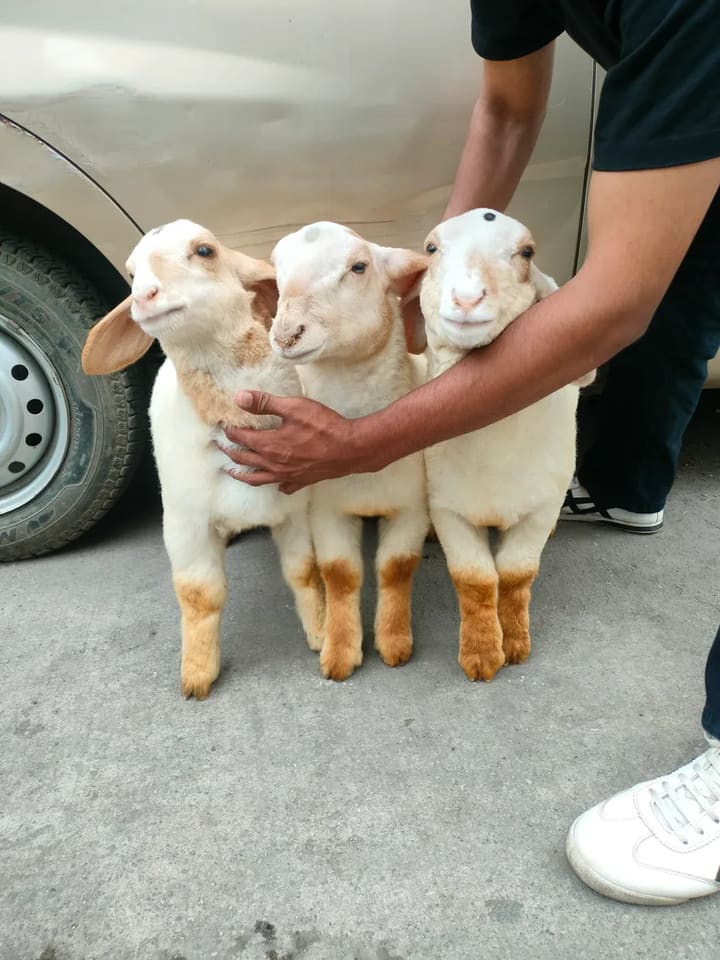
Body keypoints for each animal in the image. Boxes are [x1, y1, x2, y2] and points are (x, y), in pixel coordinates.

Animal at [81, 219, 324, 699]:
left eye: (205, 250)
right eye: (131, 272)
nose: (143, 296)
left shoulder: (295, 510)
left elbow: (303, 573)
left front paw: (321, 634)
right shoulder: (184, 523)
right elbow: (200, 595)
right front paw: (197, 674)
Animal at [269, 221, 430, 681]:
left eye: (359, 267)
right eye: (277, 270)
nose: (286, 335)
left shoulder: (411, 508)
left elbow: (395, 569)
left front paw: (394, 641)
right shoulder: (326, 512)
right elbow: (340, 575)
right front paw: (340, 650)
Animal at [416, 208, 593, 681]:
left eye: (526, 252)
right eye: (432, 248)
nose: (466, 299)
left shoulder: (537, 509)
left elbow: (515, 576)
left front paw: (514, 642)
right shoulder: (450, 509)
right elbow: (477, 580)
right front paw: (480, 653)